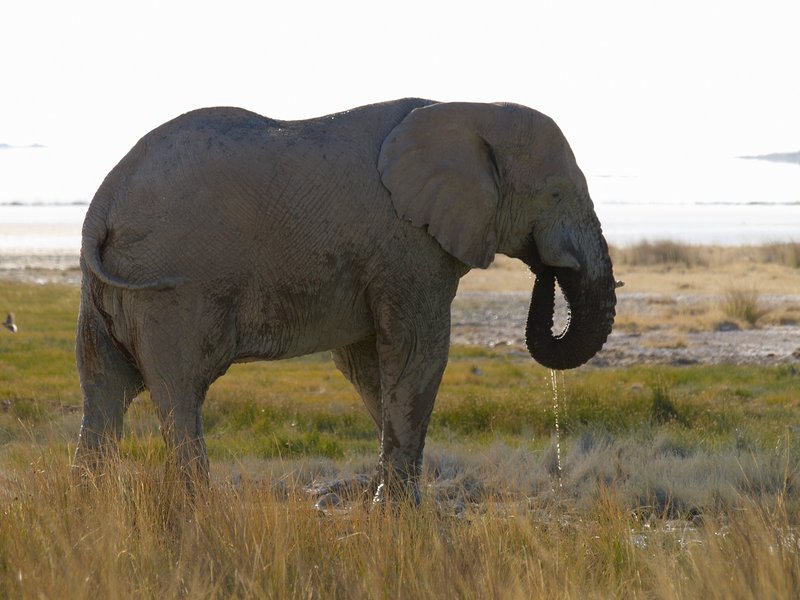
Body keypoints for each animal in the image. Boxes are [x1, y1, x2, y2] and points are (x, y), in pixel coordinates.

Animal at [74, 98, 616, 503]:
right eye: (555, 194)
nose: (549, 267)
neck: (467, 109)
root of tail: (102, 204)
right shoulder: (406, 244)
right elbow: (418, 355)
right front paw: (403, 516)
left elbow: (370, 369)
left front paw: (389, 505)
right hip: (171, 291)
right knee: (178, 392)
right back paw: (200, 511)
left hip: (103, 292)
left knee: (104, 388)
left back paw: (90, 511)